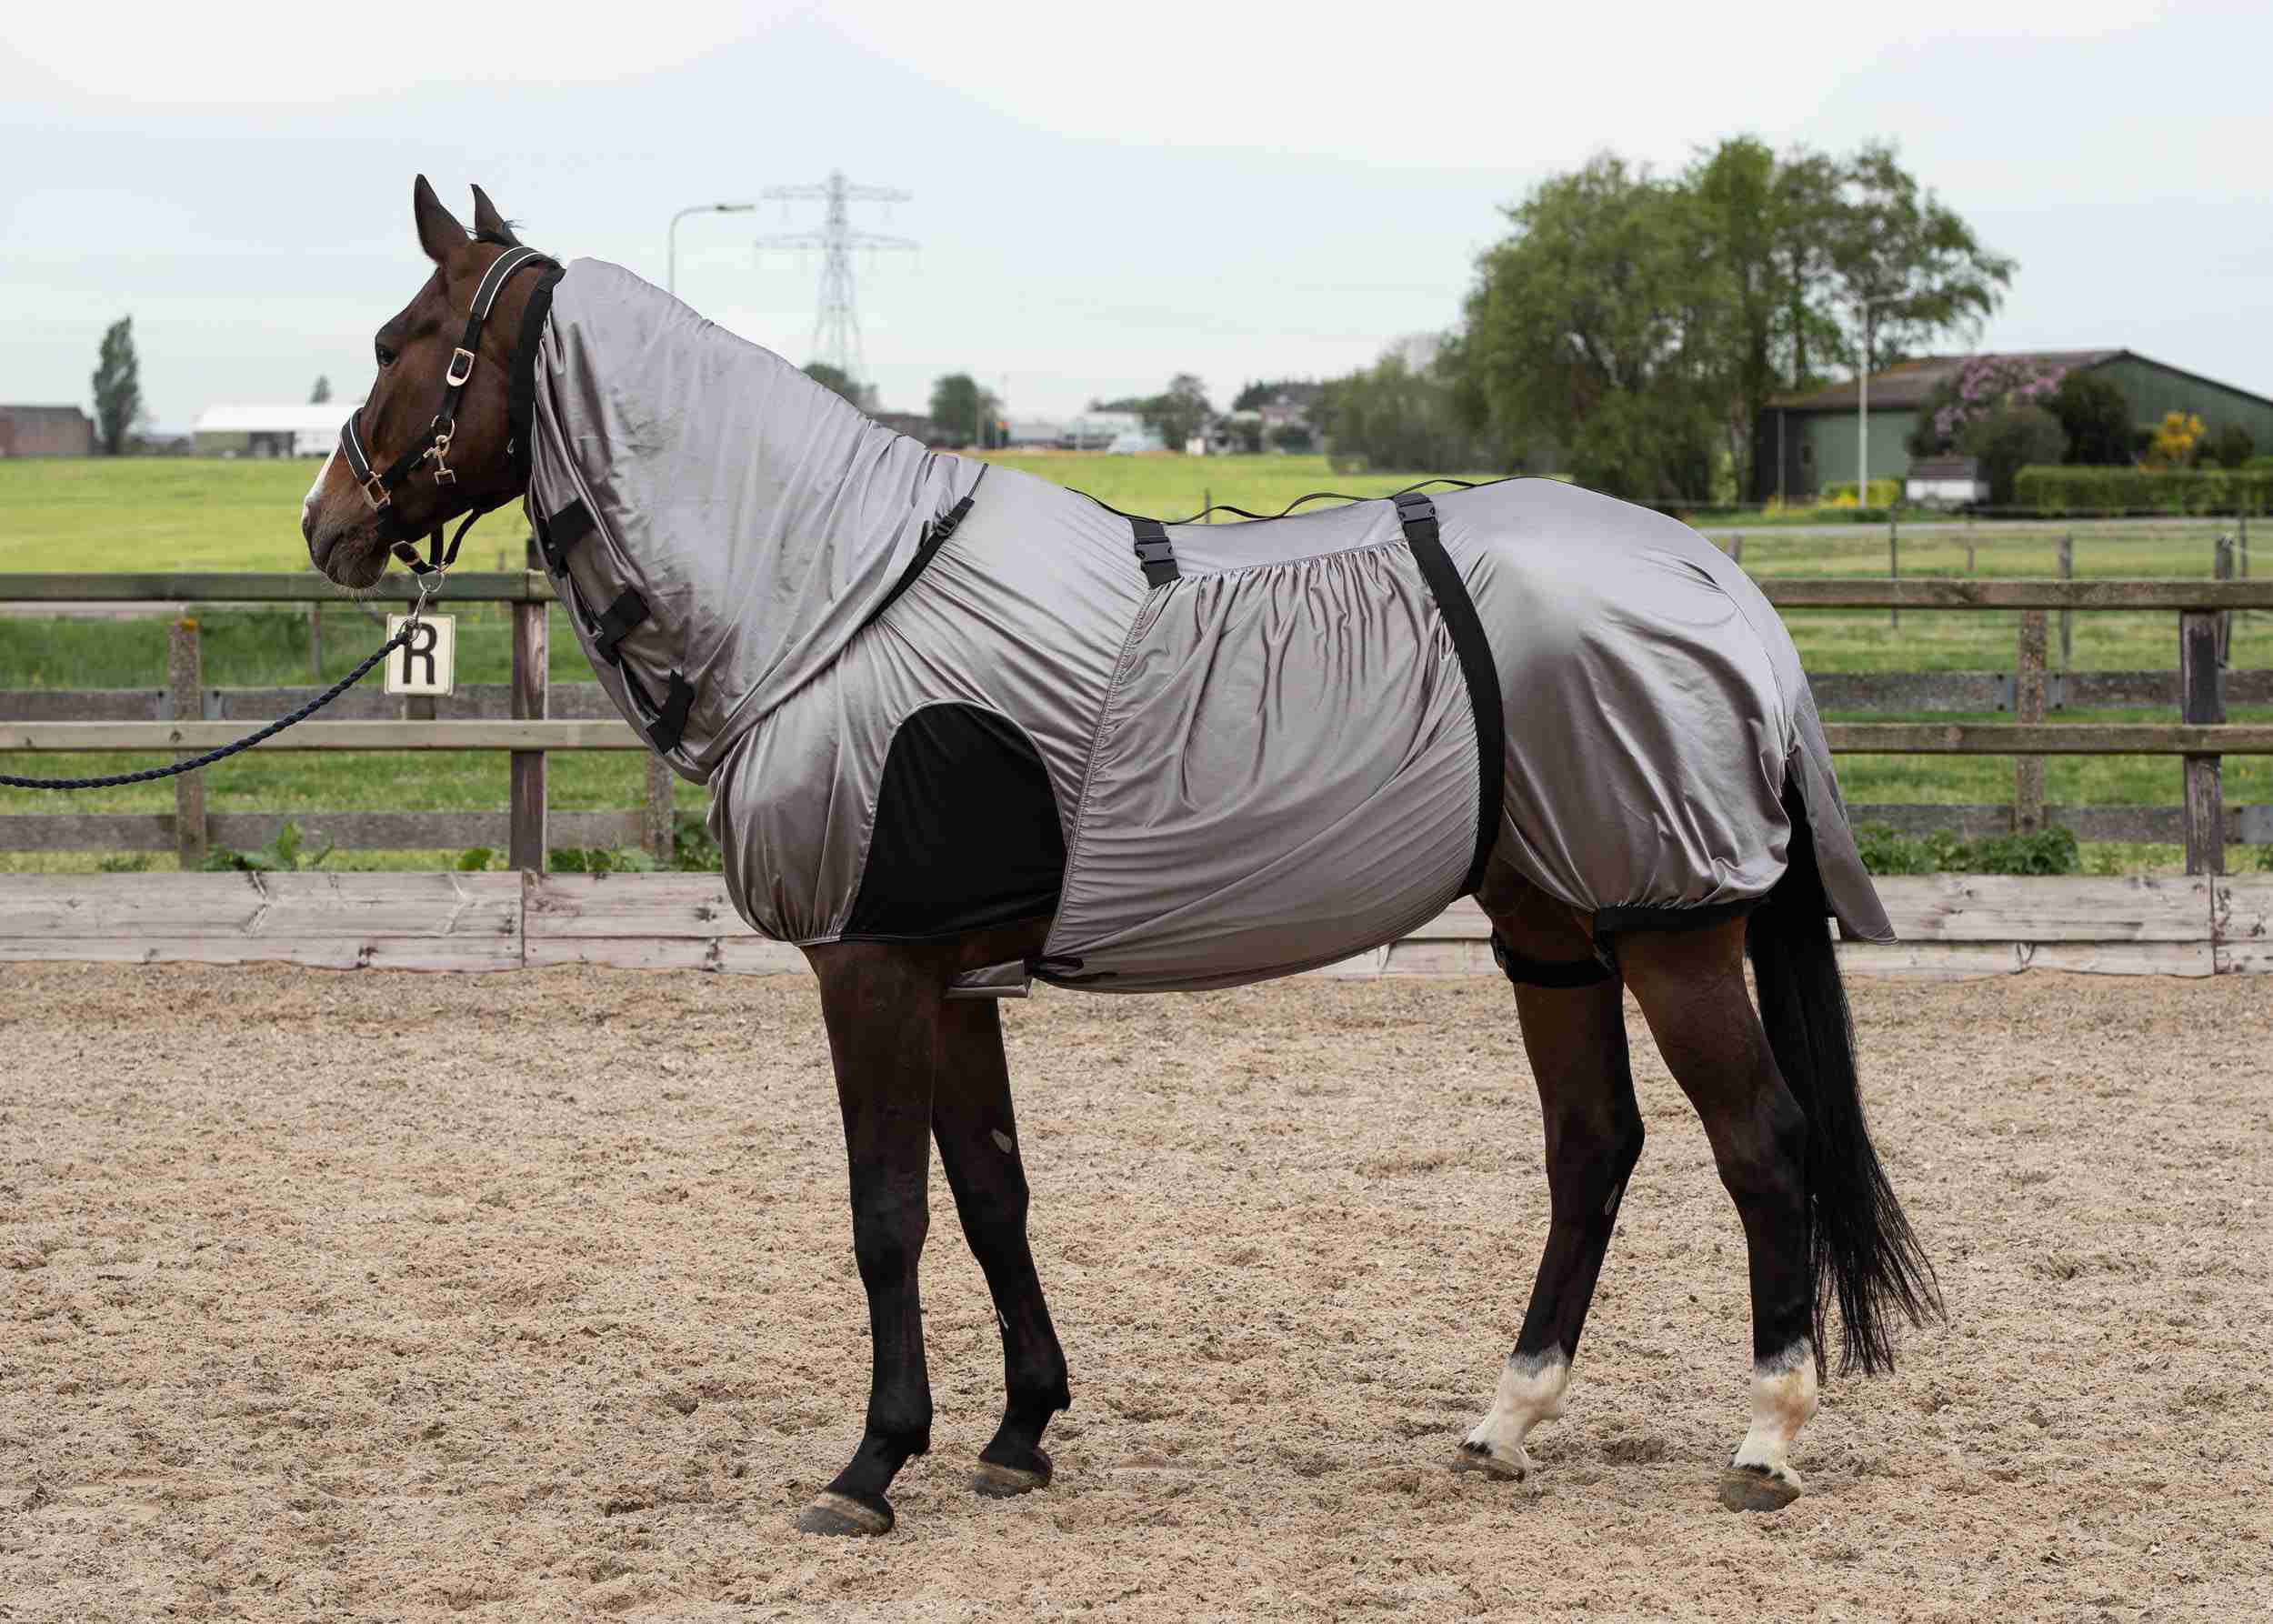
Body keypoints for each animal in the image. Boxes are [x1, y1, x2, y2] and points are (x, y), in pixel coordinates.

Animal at [303, 178, 1941, 1537]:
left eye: (404, 339)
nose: (327, 526)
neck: (835, 595)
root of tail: (1713, 578)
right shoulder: (953, 971)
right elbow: (990, 1190)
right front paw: (1018, 1428)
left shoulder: (869, 962)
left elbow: (886, 1211)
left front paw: (872, 1461)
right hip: (1553, 923)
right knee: (1593, 1145)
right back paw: (1508, 1418)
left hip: (1671, 921)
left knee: (1762, 1144)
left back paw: (1766, 1438)